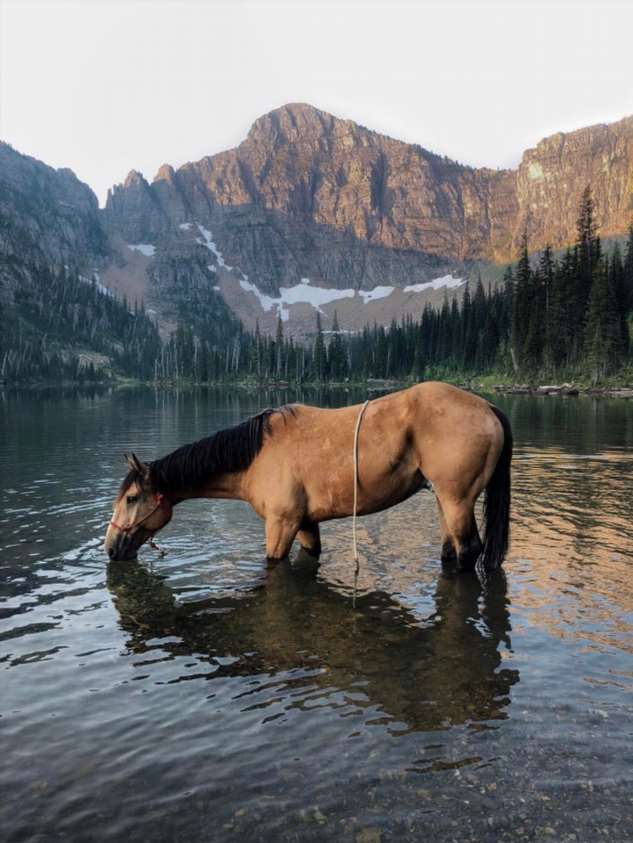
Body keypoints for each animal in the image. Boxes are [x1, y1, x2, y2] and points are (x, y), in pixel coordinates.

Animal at [102, 384, 508, 572]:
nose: (110, 549)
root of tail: (487, 405)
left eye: (132, 498)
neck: (256, 456)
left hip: (456, 500)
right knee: (451, 550)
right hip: (444, 500)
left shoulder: (281, 524)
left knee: (469, 550)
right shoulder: (306, 523)